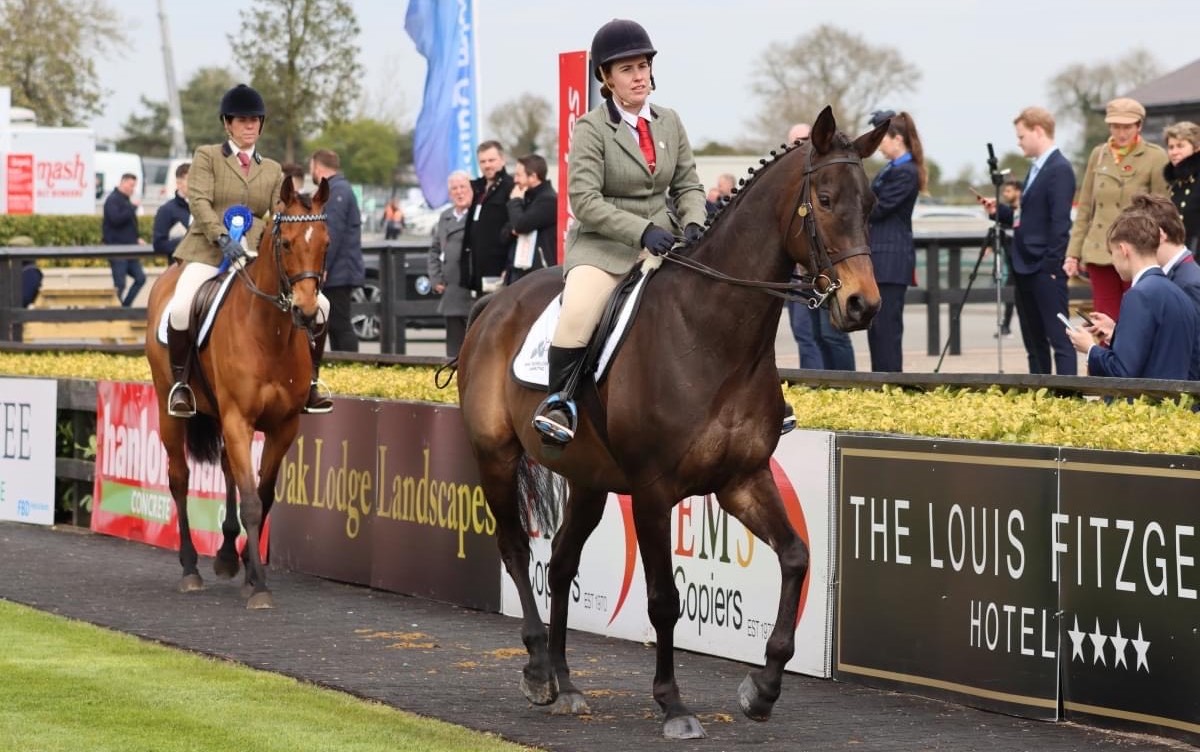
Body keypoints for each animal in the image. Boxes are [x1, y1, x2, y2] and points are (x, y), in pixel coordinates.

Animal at [146, 177, 333, 611]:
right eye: (286, 244)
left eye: (326, 243)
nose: (305, 311)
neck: (271, 333)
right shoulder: (238, 420)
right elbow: (250, 498)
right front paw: (260, 586)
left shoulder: (283, 426)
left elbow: (262, 496)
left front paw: (249, 572)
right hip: (170, 412)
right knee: (179, 479)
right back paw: (190, 568)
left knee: (228, 469)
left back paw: (228, 555)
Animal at [458, 109, 892, 738]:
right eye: (827, 199)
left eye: (873, 204)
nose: (863, 305)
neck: (712, 333)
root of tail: (492, 305)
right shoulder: (653, 492)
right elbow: (664, 599)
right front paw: (673, 704)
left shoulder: (742, 480)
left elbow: (795, 558)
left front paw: (762, 689)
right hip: (495, 455)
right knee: (517, 550)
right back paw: (539, 670)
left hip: (588, 480)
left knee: (561, 563)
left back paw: (566, 683)